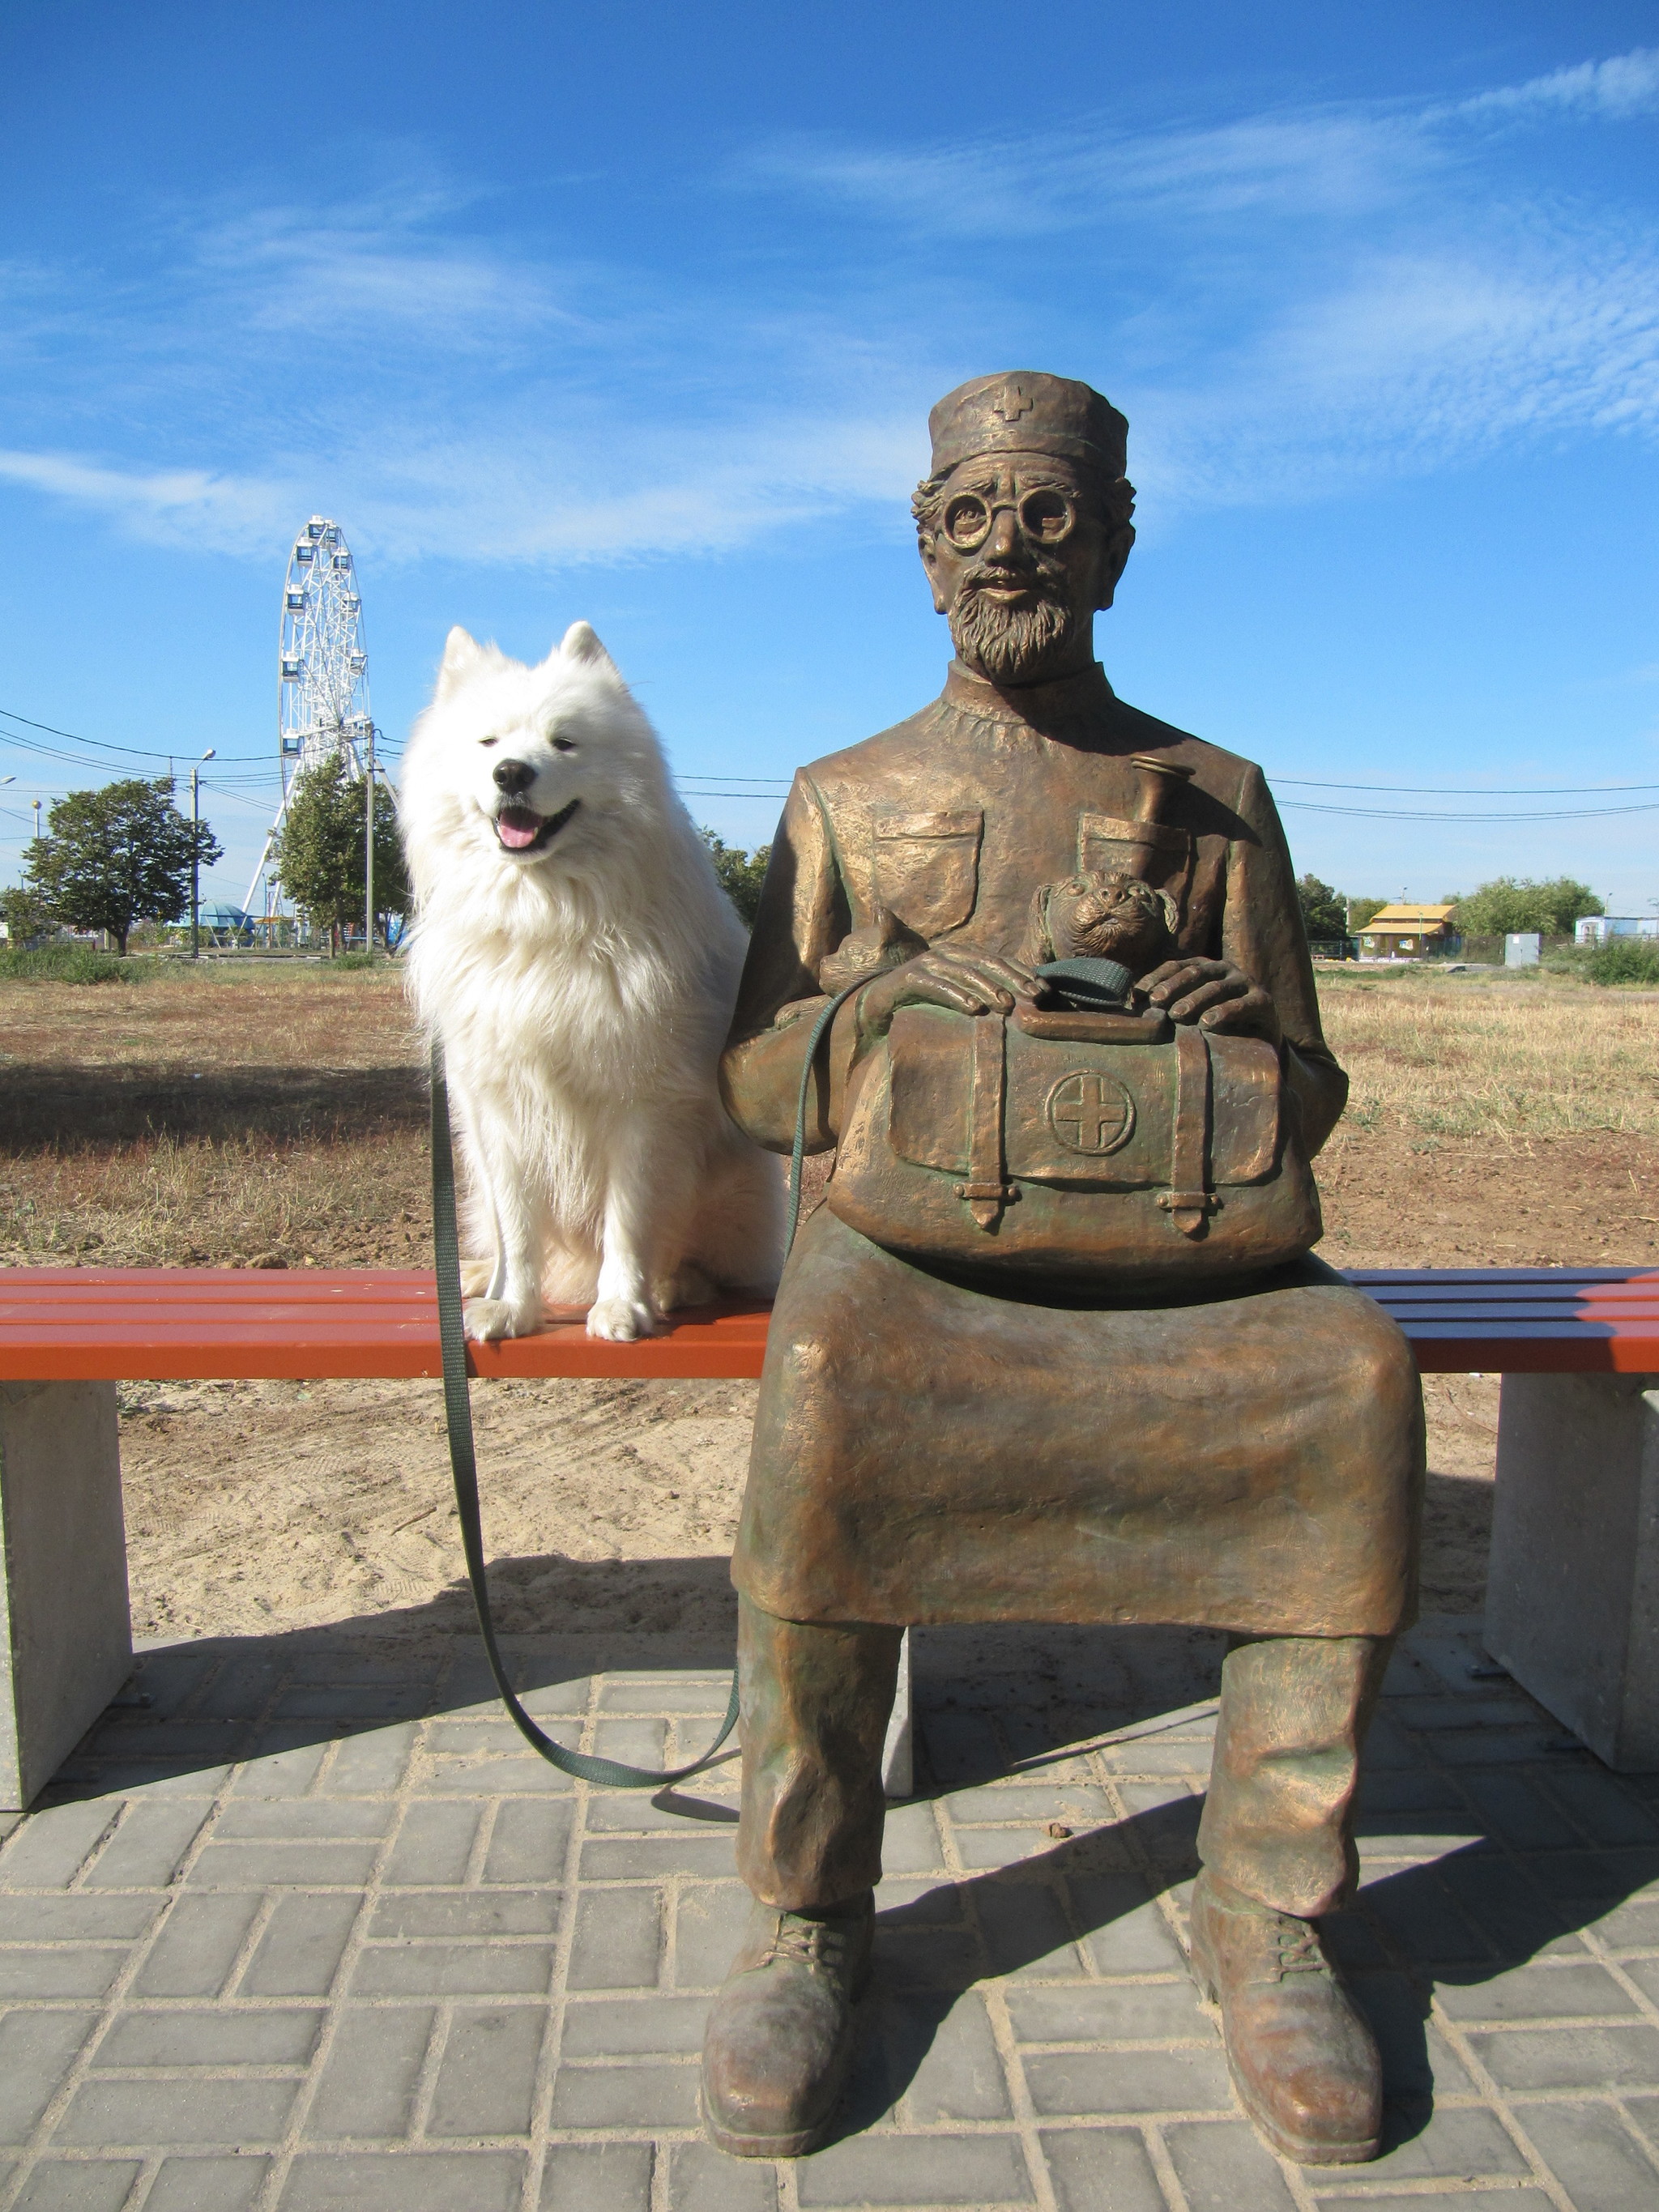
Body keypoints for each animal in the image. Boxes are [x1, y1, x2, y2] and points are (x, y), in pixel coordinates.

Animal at [407, 624, 787, 1345]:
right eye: (488, 742)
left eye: (564, 742)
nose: (511, 773)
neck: (545, 920)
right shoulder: (497, 1109)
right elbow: (518, 1228)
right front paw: (512, 1306)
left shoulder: (641, 1104)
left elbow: (628, 1220)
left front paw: (621, 1305)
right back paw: (478, 1275)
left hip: (731, 1184)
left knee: (708, 1261)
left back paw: (672, 1286)